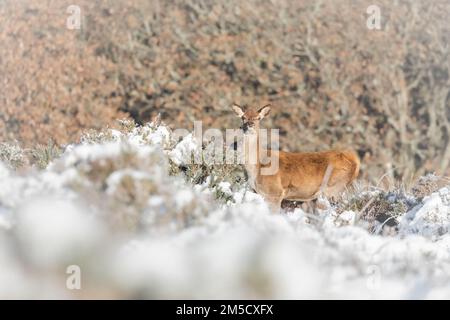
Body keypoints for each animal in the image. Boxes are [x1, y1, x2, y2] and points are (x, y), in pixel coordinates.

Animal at [230, 104, 360, 214]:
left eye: (258, 118)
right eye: (243, 117)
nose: (249, 124)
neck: (256, 168)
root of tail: (355, 160)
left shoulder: (275, 192)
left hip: (333, 189)